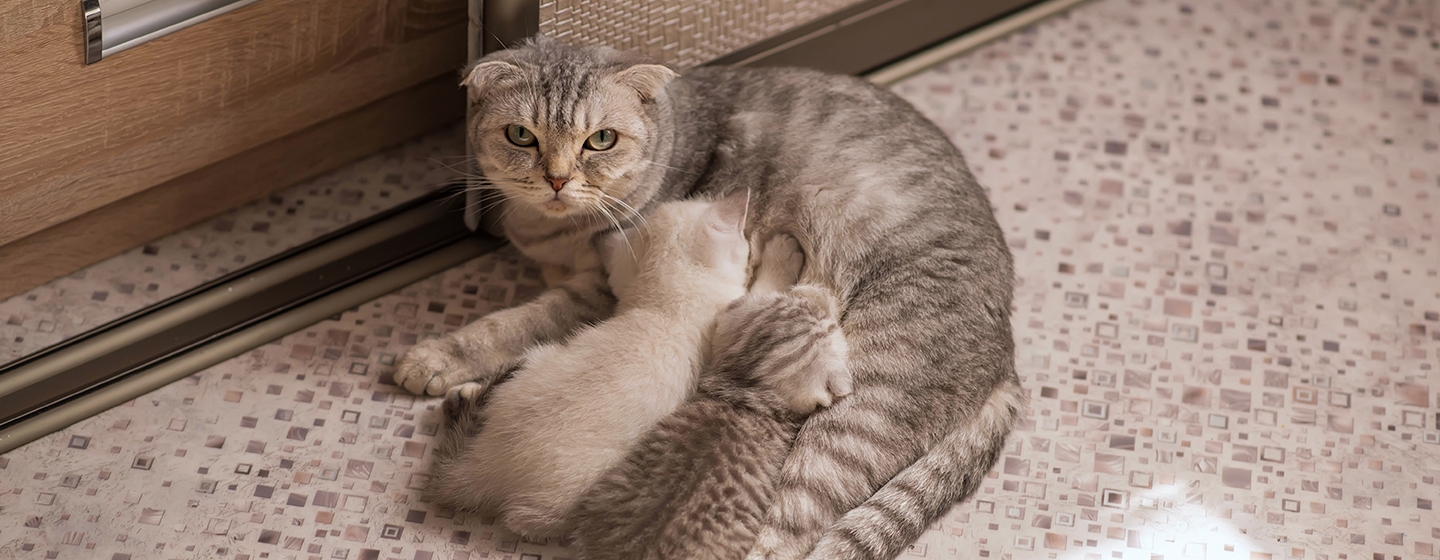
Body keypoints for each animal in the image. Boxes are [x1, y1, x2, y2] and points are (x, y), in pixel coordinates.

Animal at [426, 192, 754, 535]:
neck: (669, 303)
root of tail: (484, 461)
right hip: (568, 491)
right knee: (523, 521)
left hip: (536, 357)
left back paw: (458, 398)